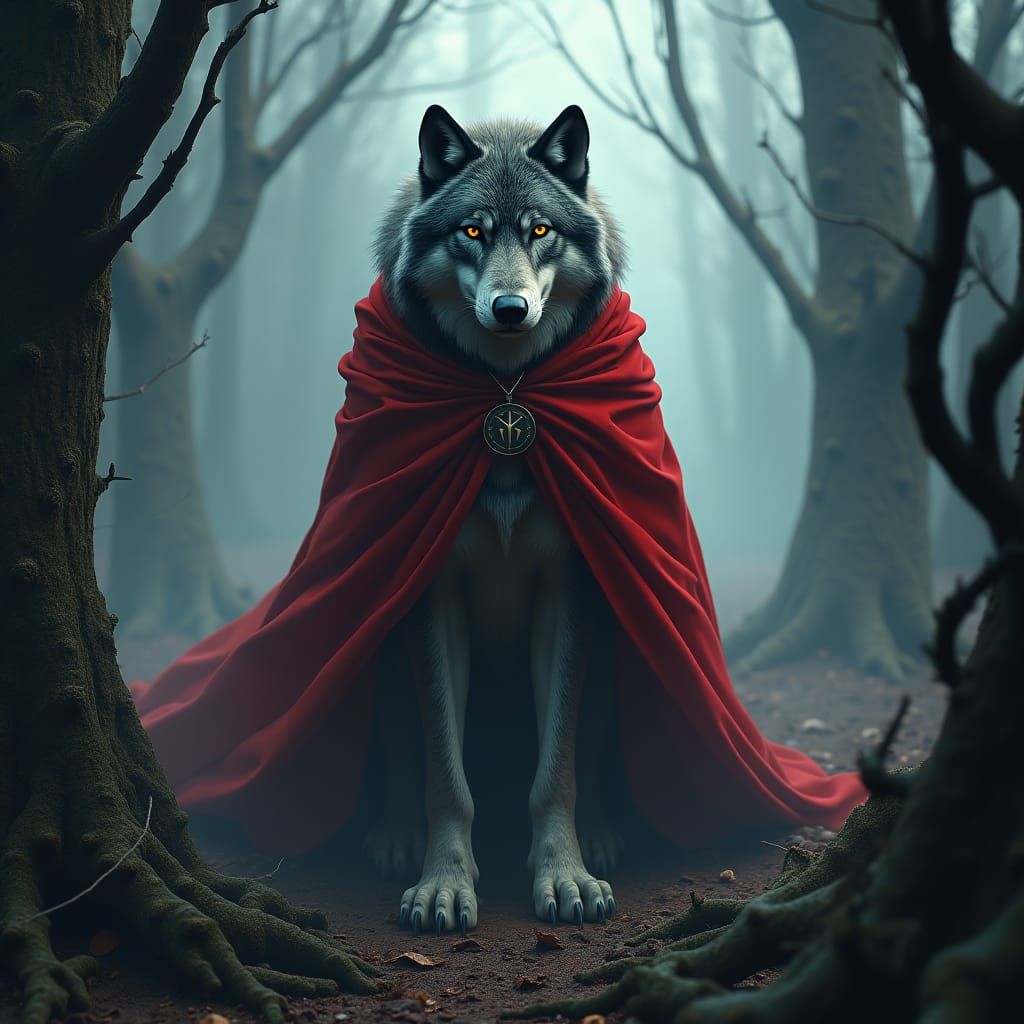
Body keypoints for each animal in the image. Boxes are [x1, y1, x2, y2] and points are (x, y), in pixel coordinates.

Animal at [366, 104, 627, 935]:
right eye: (473, 232)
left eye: (539, 230)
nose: (509, 309)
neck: (505, 393)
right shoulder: (430, 594)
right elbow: (446, 777)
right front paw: (442, 885)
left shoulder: (567, 593)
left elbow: (558, 770)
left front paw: (566, 877)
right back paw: (391, 837)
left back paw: (604, 835)